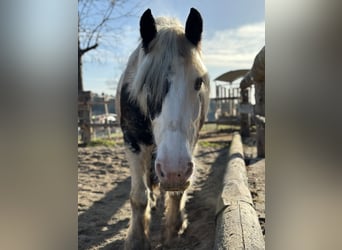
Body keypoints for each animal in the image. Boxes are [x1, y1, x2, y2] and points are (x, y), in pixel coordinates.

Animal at [116, 8, 210, 250]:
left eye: (198, 82)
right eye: (146, 84)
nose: (173, 171)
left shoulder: (191, 144)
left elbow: (177, 193)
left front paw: (174, 228)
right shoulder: (133, 142)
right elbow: (138, 195)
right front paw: (137, 239)